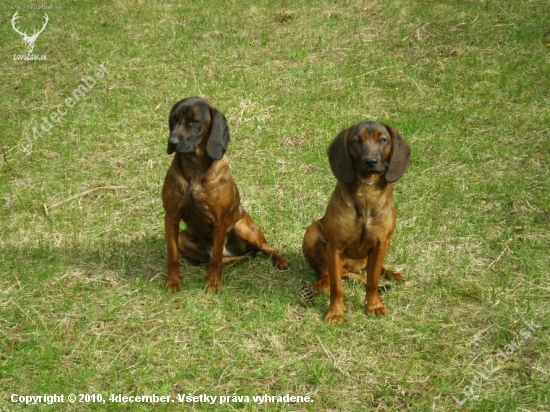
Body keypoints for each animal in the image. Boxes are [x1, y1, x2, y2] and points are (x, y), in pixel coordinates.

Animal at [164, 97, 292, 292]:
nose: (172, 142)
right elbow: (172, 256)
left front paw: (213, 283)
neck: (195, 168)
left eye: (194, 120)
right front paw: (172, 281)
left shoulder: (220, 221)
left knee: (265, 247)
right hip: (183, 238)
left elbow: (216, 259)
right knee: (213, 258)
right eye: (173, 118)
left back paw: (280, 260)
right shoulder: (171, 216)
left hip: (242, 227)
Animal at [302, 122, 410, 322]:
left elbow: (372, 281)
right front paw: (336, 312)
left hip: (384, 247)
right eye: (356, 141)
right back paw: (320, 284)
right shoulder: (335, 248)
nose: (371, 161)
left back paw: (392, 274)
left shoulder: (380, 244)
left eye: (383, 140)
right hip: (311, 232)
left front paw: (374, 305)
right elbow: (337, 287)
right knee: (327, 273)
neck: (366, 193)